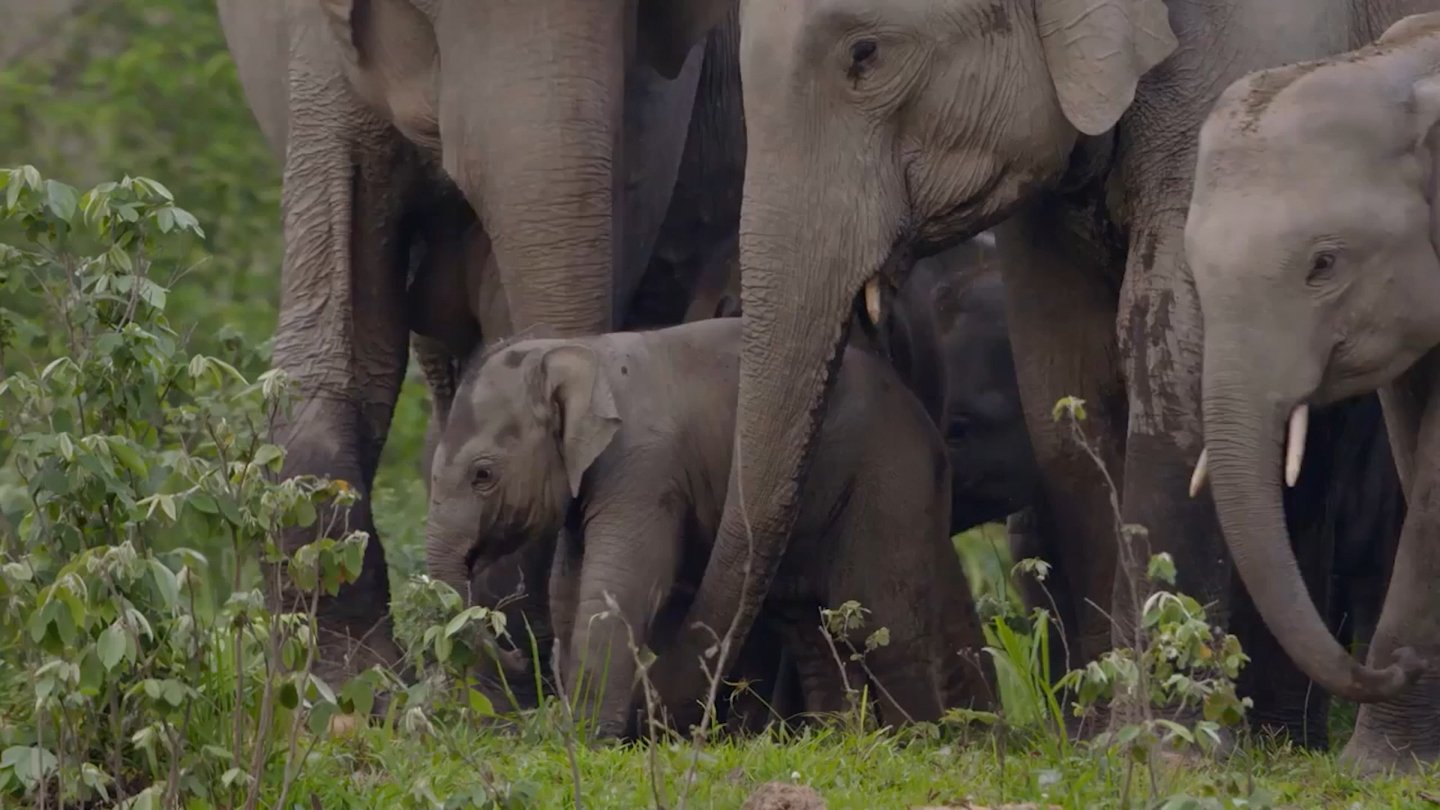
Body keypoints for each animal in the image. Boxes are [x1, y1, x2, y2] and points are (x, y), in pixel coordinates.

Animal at [425, 318, 993, 738]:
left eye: (482, 475)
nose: (516, 653)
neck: (580, 350)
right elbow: (570, 584)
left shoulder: (644, 467)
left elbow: (622, 586)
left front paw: (585, 740)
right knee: (812, 631)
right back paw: (838, 742)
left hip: (892, 480)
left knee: (882, 625)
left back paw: (916, 745)